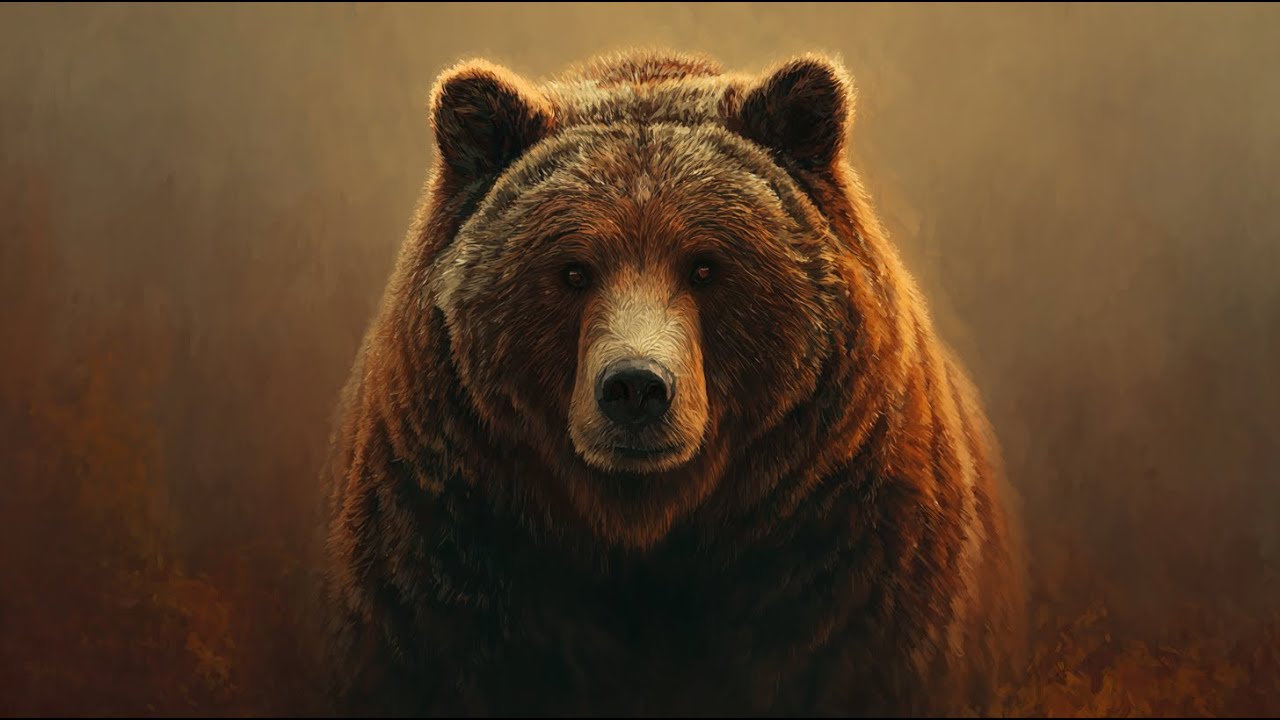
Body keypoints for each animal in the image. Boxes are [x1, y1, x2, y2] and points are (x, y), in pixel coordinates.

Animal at [316, 50, 1029, 717]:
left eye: (706, 266)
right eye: (572, 270)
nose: (636, 388)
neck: (645, 525)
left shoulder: (847, 549)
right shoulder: (447, 547)